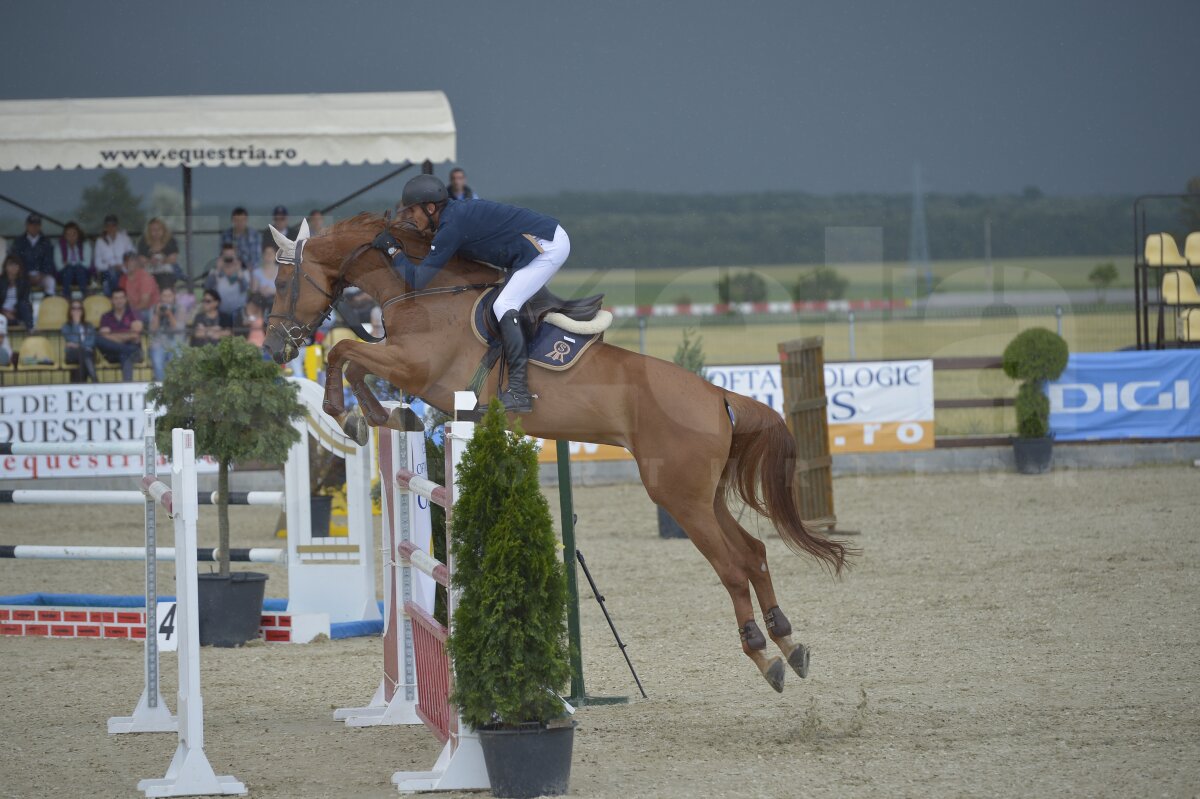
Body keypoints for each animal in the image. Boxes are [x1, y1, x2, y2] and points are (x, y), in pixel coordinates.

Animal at [262, 213, 849, 691]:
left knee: (730, 566)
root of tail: (717, 396)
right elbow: (353, 359)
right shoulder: (406, 365)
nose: (272, 348)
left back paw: (764, 654)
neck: (420, 292)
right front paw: (374, 417)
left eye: (283, 281)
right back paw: (790, 645)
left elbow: (345, 351)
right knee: (753, 553)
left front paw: (351, 414)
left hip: (678, 496)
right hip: (703, 496)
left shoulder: (415, 366)